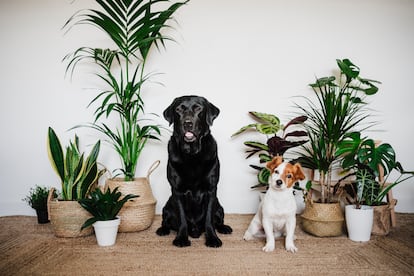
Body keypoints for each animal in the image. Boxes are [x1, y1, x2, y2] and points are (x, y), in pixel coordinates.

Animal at [156, 95, 233, 248]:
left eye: (198, 108)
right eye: (178, 109)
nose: (188, 123)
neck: (192, 155)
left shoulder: (211, 190)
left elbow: (209, 219)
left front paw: (212, 239)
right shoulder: (177, 191)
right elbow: (182, 219)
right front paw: (181, 239)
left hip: (219, 207)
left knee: (218, 219)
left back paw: (224, 228)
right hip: (167, 207)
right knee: (165, 220)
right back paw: (163, 229)